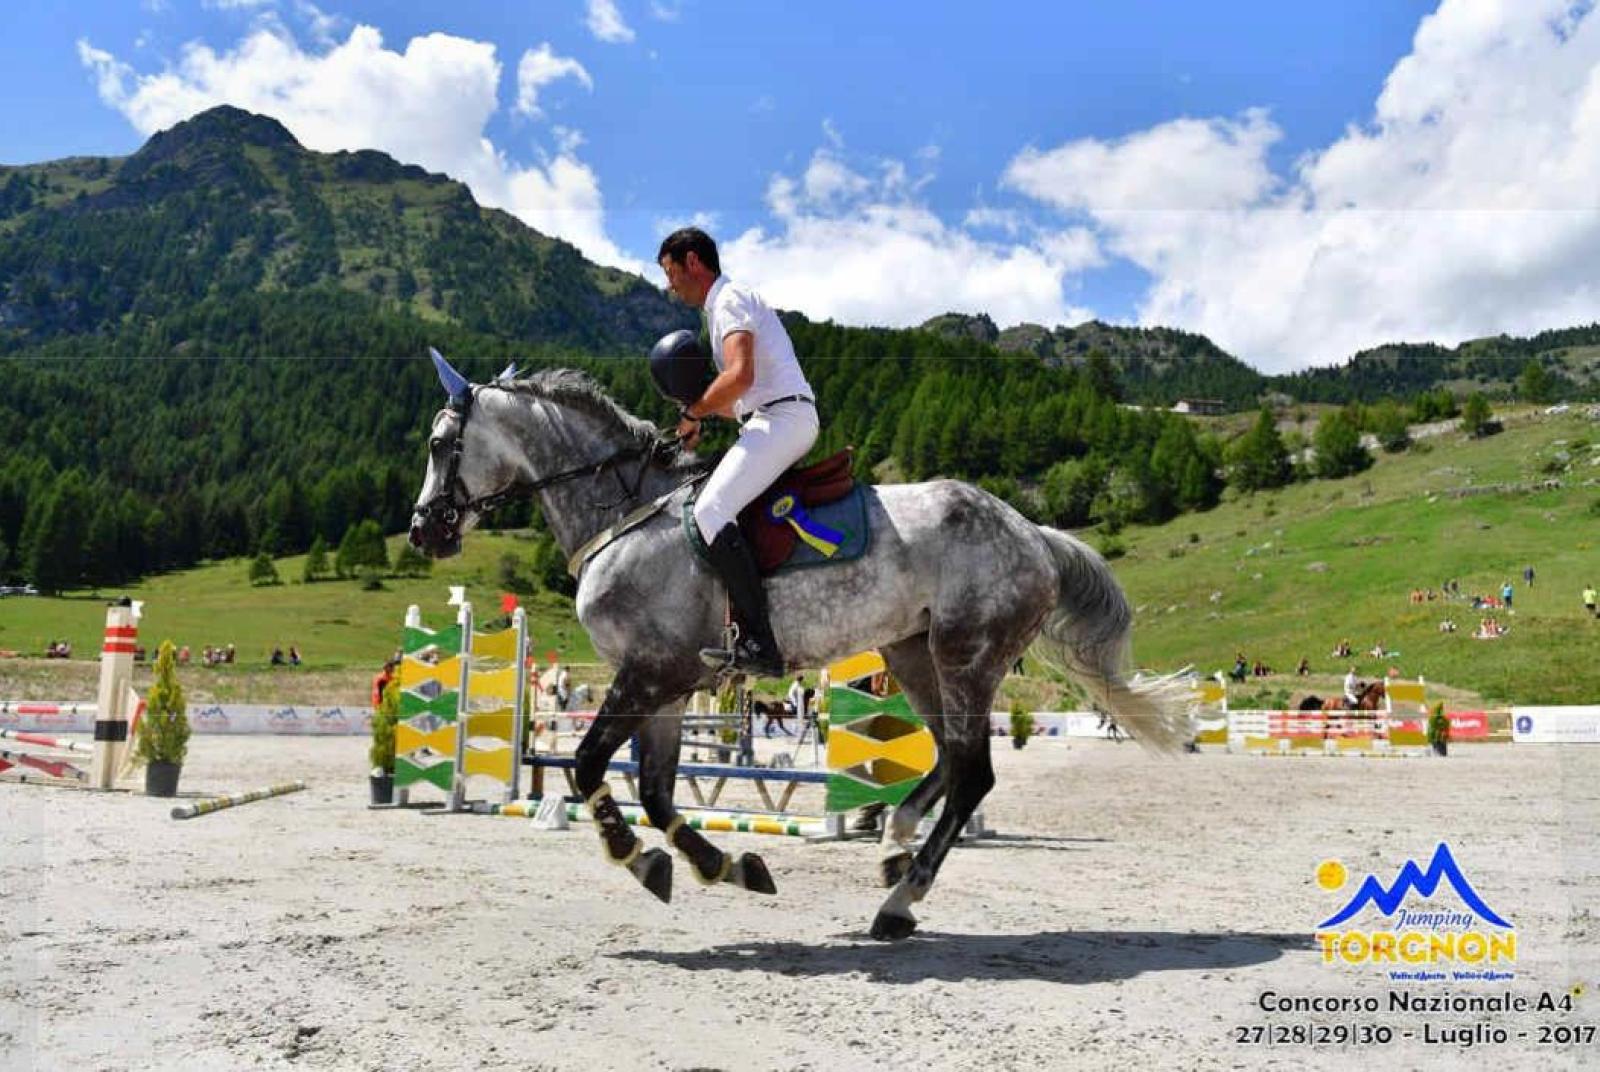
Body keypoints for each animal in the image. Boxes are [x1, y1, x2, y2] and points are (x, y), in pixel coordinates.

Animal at [406, 356, 1196, 947]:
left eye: (442, 446)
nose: (423, 531)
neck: (624, 515)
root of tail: (1034, 532)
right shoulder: (666, 682)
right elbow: (655, 789)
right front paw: (722, 864)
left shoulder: (651, 671)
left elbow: (589, 764)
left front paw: (638, 859)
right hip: (913, 653)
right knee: (948, 756)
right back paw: (894, 845)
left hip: (966, 654)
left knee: (974, 772)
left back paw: (899, 902)